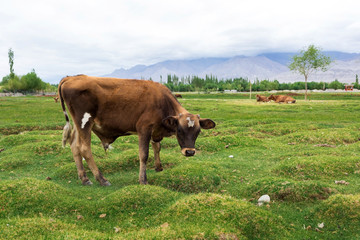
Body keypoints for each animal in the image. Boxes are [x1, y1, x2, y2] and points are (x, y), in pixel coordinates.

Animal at [58, 75, 215, 186]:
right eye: (180, 130)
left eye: (198, 131)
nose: (190, 152)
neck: (162, 101)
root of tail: (71, 77)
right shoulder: (144, 128)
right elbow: (144, 154)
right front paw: (143, 180)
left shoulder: (155, 130)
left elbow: (157, 147)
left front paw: (158, 167)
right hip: (84, 122)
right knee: (85, 149)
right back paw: (101, 179)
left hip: (78, 124)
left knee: (74, 146)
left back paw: (84, 178)